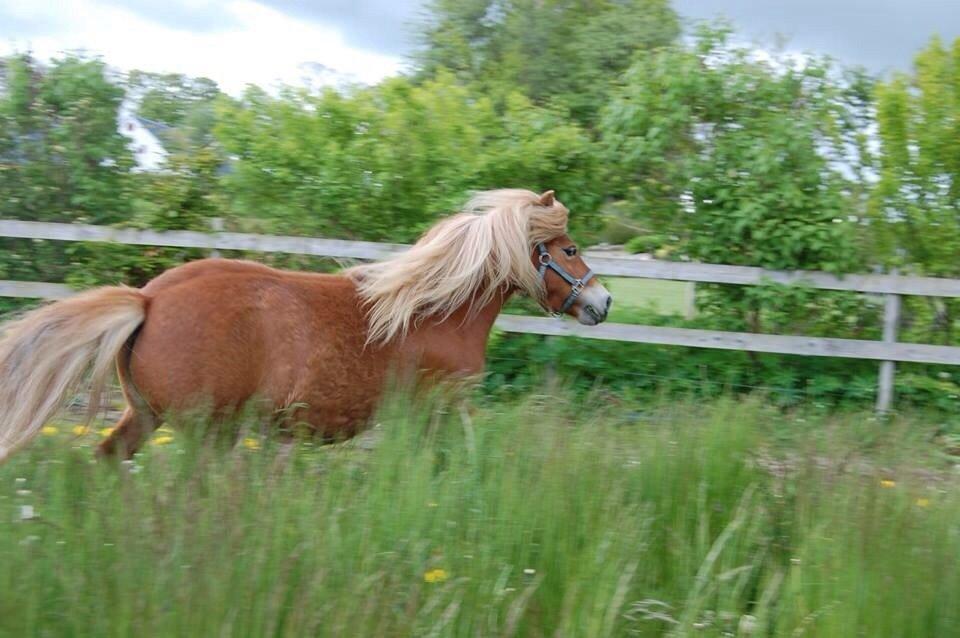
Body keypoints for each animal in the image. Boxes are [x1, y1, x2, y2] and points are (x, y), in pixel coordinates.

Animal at [0, 188, 616, 462]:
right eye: (570, 248)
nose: (603, 302)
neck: (434, 311)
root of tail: (148, 300)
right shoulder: (440, 408)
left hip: (149, 416)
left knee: (106, 462)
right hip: (207, 428)